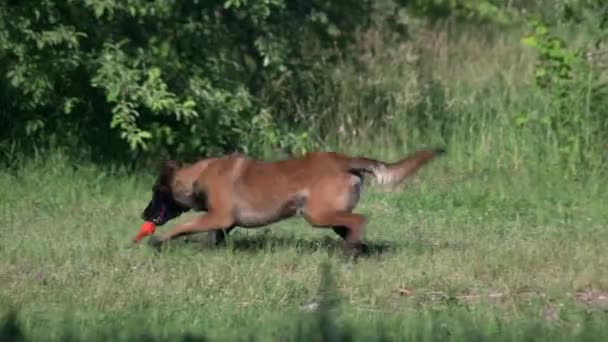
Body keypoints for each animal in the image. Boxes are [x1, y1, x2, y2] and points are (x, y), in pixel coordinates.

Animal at [142, 148, 446, 255]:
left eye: (156, 192)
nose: (144, 215)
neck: (198, 175)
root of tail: (344, 160)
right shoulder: (221, 223)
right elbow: (212, 237)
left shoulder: (218, 216)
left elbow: (182, 227)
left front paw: (158, 241)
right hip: (329, 215)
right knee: (351, 229)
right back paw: (360, 250)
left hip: (316, 214)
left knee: (358, 221)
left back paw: (350, 254)